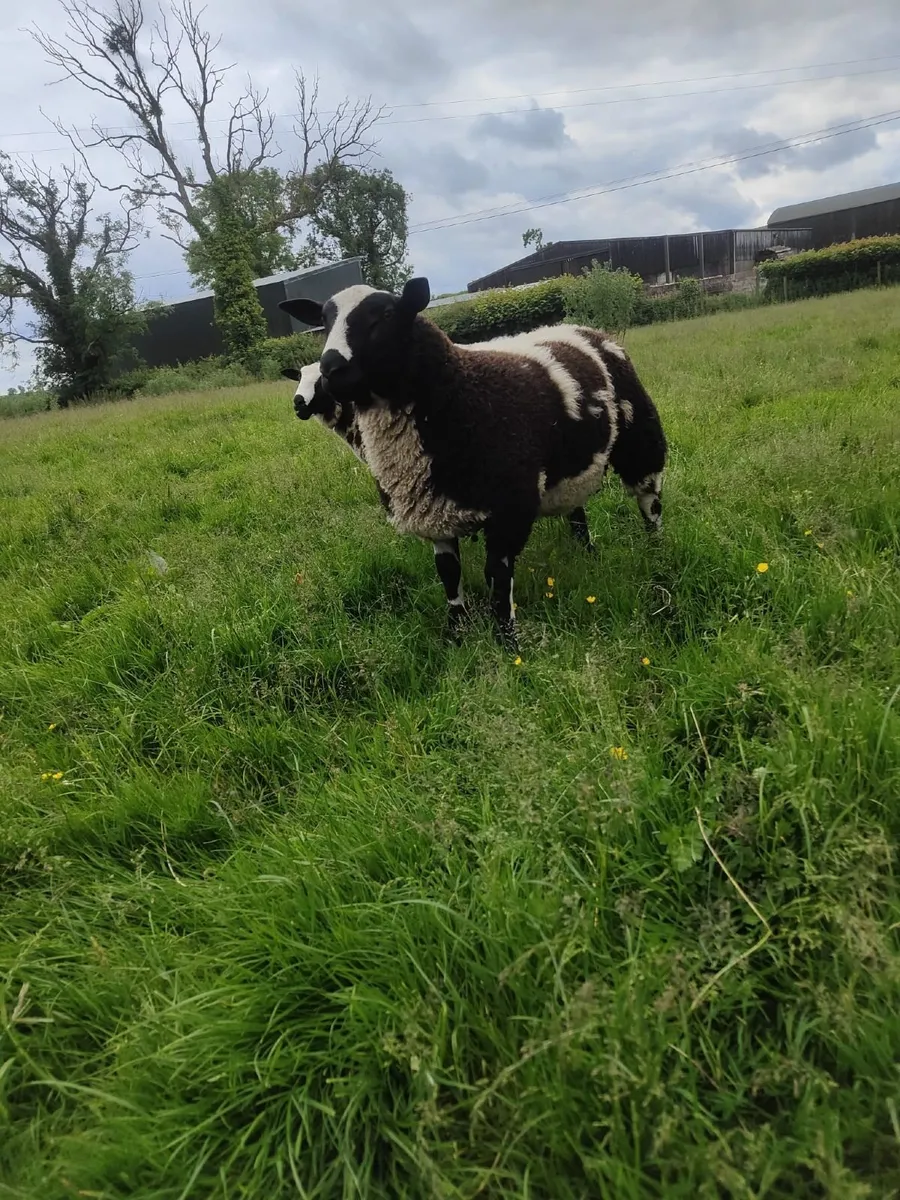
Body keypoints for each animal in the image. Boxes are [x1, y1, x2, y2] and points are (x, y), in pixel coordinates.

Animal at [279, 280, 667, 648]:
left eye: (386, 314)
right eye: (324, 321)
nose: (332, 369)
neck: (460, 390)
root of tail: (581, 329)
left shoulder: (510, 510)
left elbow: (497, 579)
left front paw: (508, 643)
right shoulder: (434, 510)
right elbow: (449, 576)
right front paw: (455, 633)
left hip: (641, 438)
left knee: (650, 503)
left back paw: (657, 560)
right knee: (577, 510)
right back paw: (588, 553)